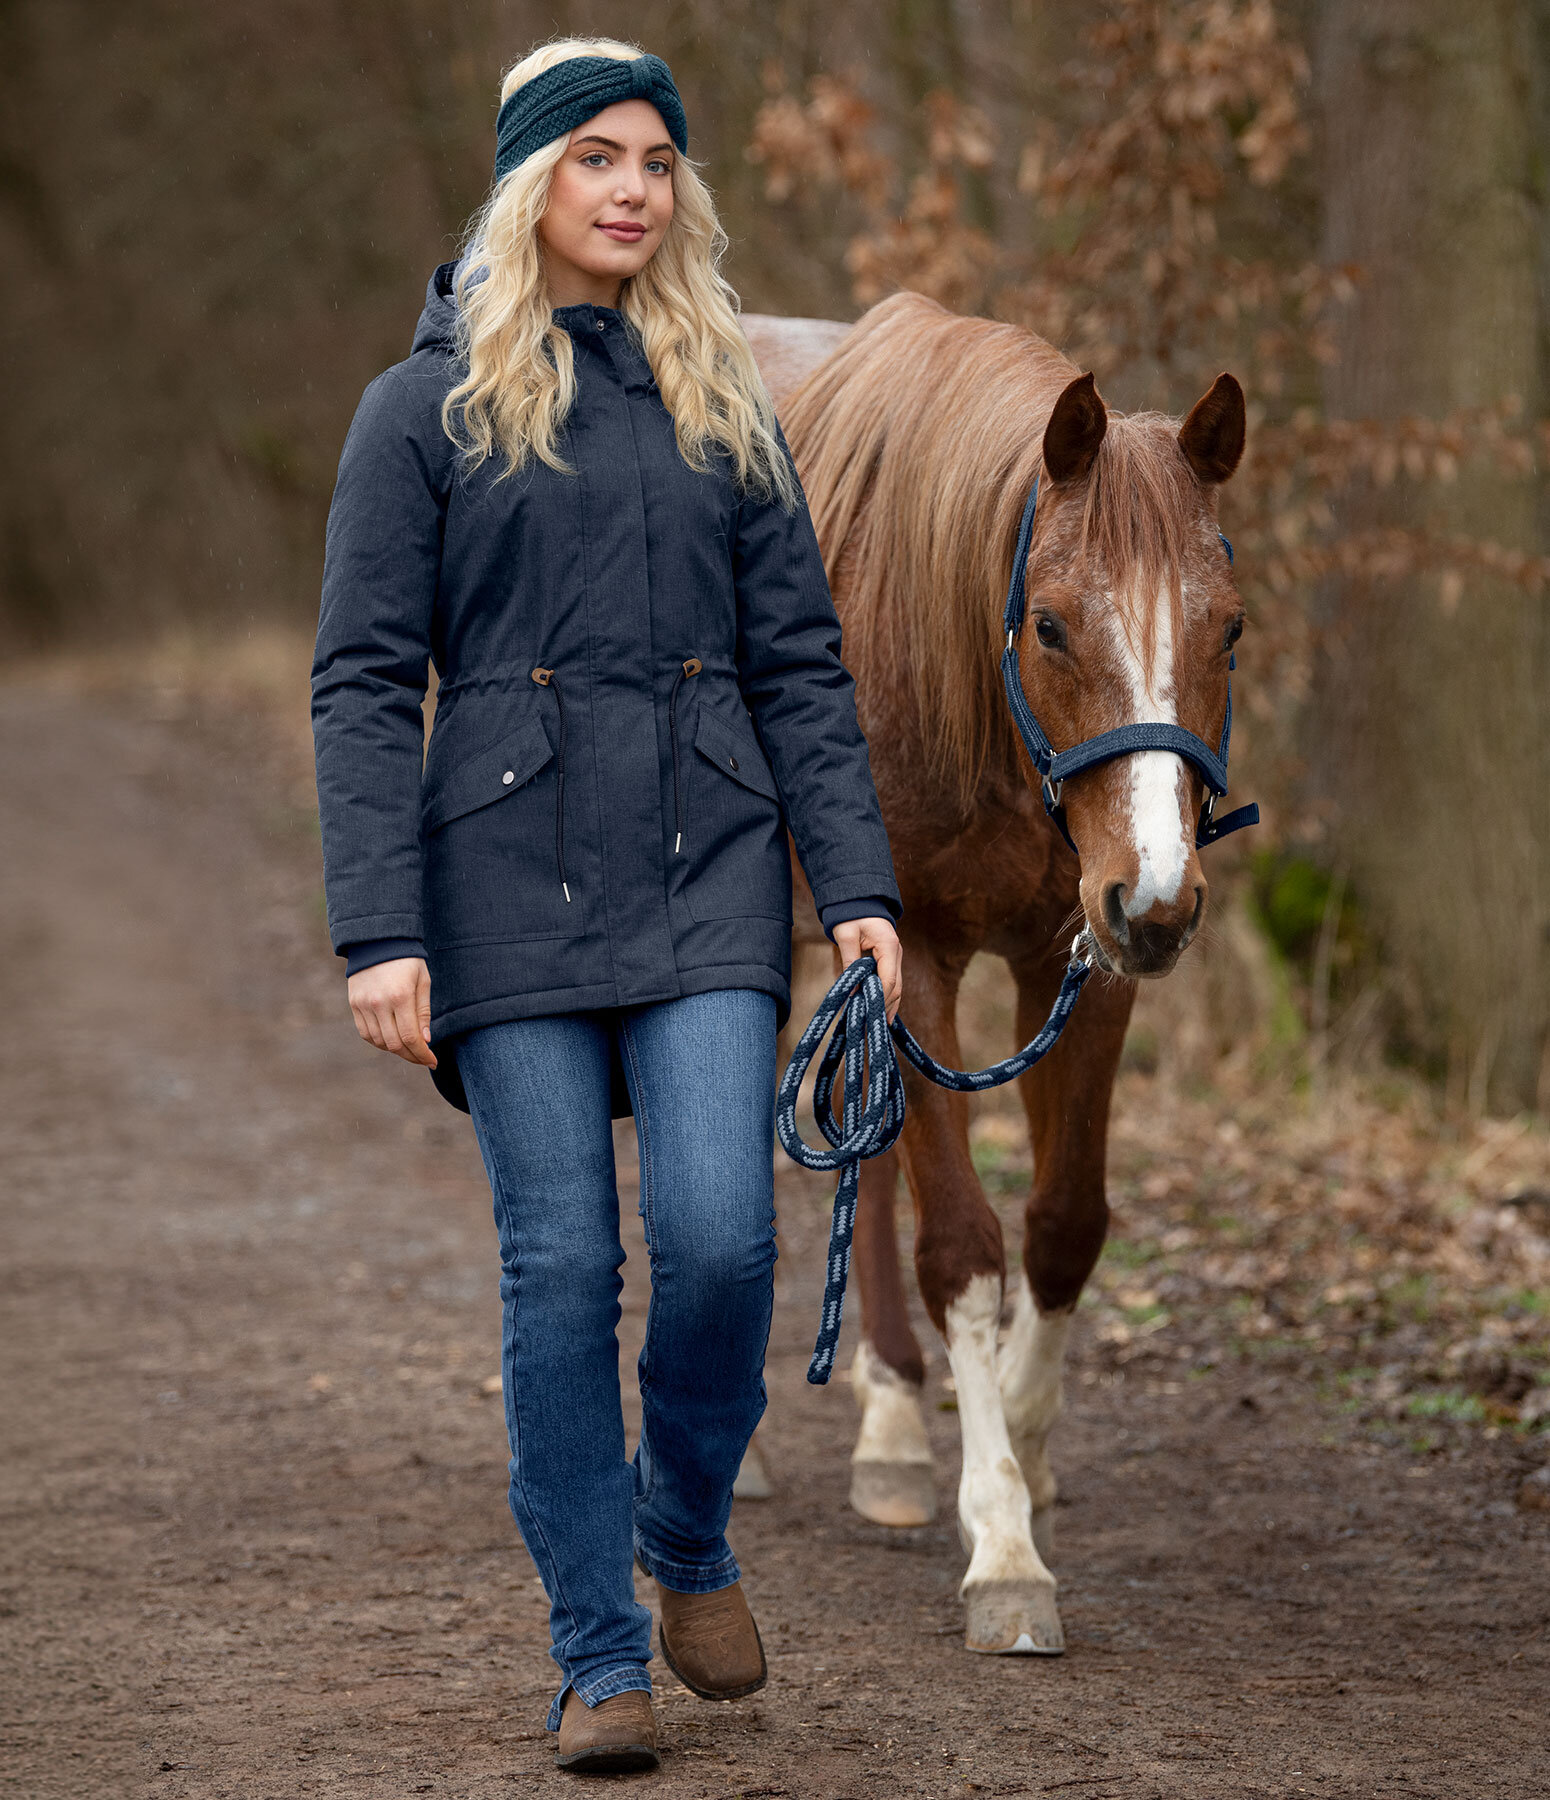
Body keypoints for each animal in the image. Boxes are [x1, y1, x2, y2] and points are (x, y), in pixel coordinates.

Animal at [738, 288, 1245, 1648]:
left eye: (1228, 628)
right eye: (1053, 624)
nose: (1166, 896)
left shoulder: (1089, 953)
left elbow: (1064, 1227)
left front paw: (1018, 1442)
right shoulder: (909, 947)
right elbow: (961, 1245)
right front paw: (1003, 1540)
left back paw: (893, 1426)